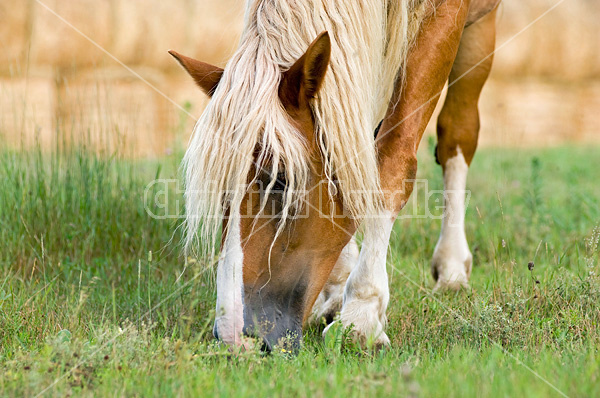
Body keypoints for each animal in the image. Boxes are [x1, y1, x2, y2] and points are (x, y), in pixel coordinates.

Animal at [170, 0, 502, 350]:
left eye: (281, 180)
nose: (234, 337)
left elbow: (391, 162)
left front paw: (362, 311)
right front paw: (339, 288)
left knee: (458, 131)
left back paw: (452, 265)